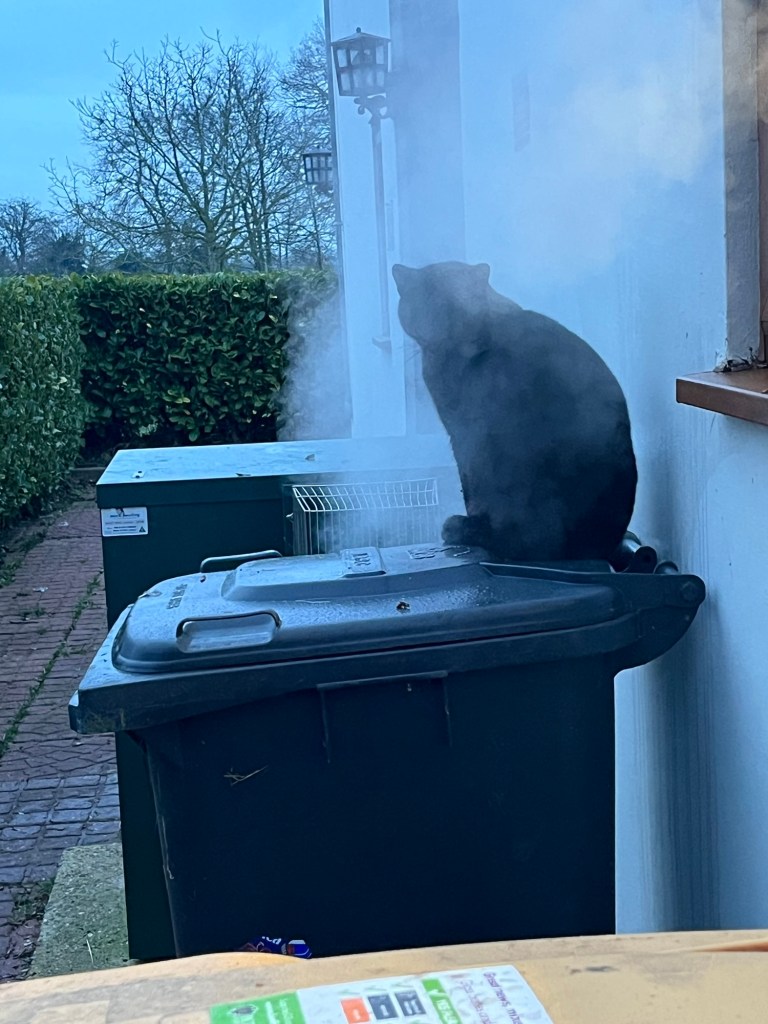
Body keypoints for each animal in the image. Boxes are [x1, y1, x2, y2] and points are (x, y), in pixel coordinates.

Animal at [392, 261, 637, 563]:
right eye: (430, 306)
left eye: (464, 304)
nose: (450, 328)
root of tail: (597, 547)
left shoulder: (464, 435)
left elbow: (468, 484)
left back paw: (465, 529)